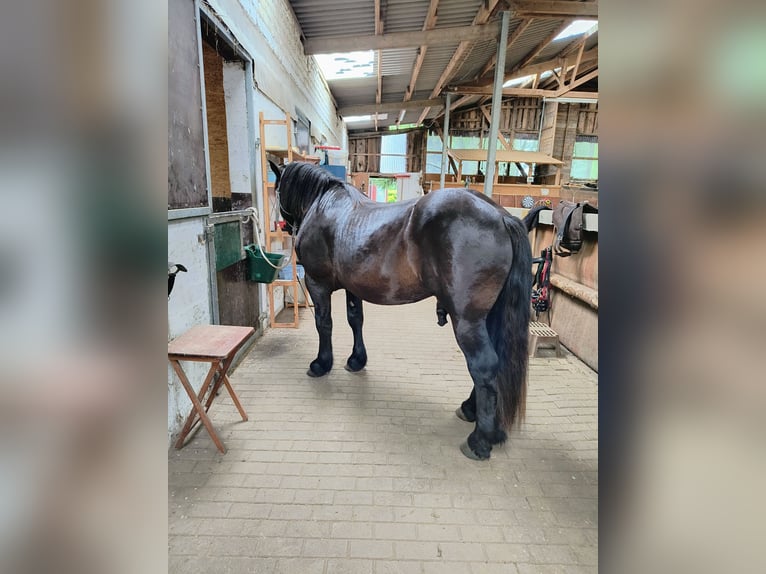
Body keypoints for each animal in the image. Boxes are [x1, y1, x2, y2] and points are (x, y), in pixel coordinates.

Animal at [270, 161, 533, 460]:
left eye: (277, 190)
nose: (284, 226)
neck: (324, 204)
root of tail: (501, 216)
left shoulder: (317, 284)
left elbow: (324, 323)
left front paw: (321, 363)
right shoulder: (352, 288)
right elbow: (355, 320)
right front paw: (356, 360)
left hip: (468, 321)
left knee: (483, 366)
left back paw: (480, 440)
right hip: (489, 317)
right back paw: (472, 411)